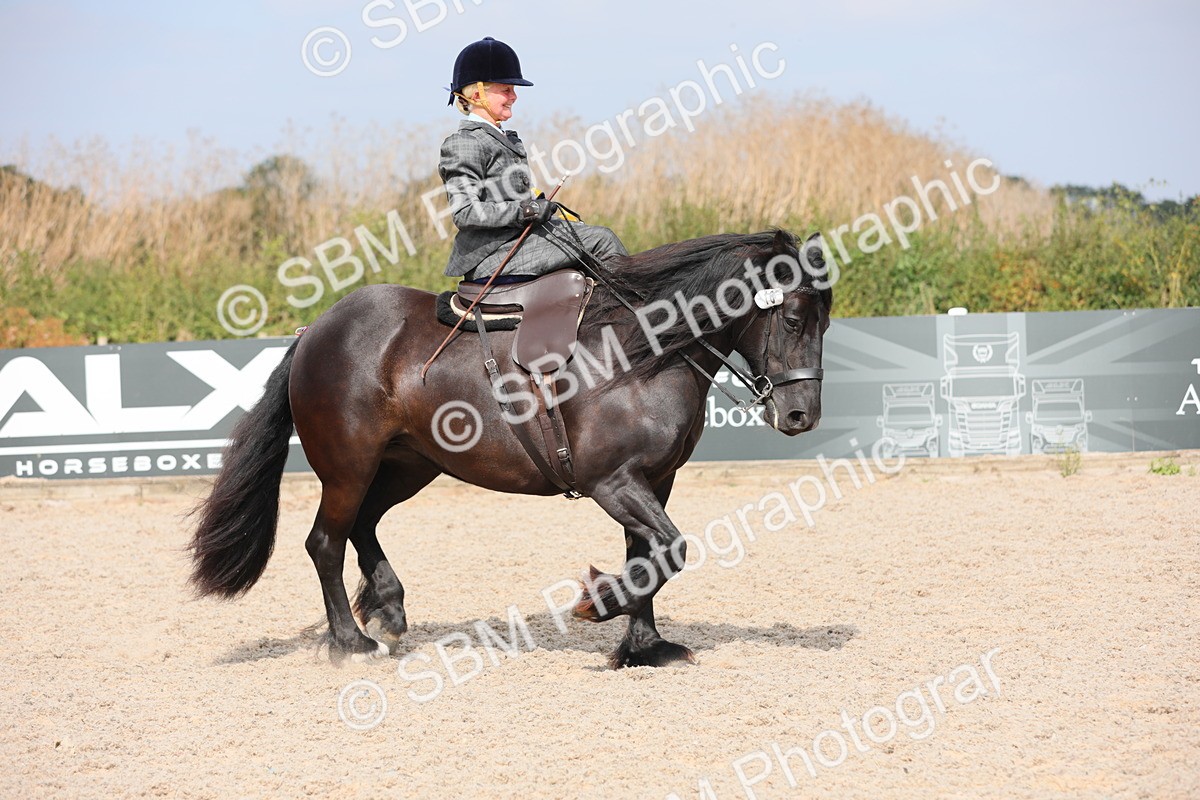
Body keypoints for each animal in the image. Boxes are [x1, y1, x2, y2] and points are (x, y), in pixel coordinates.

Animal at [188, 229, 832, 668]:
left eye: (825, 323)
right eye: (793, 320)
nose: (802, 415)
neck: (641, 351)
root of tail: (317, 330)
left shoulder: (654, 480)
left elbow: (647, 559)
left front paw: (643, 646)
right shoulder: (613, 482)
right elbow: (669, 551)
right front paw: (599, 605)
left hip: (407, 466)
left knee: (362, 527)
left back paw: (388, 606)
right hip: (349, 467)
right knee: (325, 541)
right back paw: (352, 641)